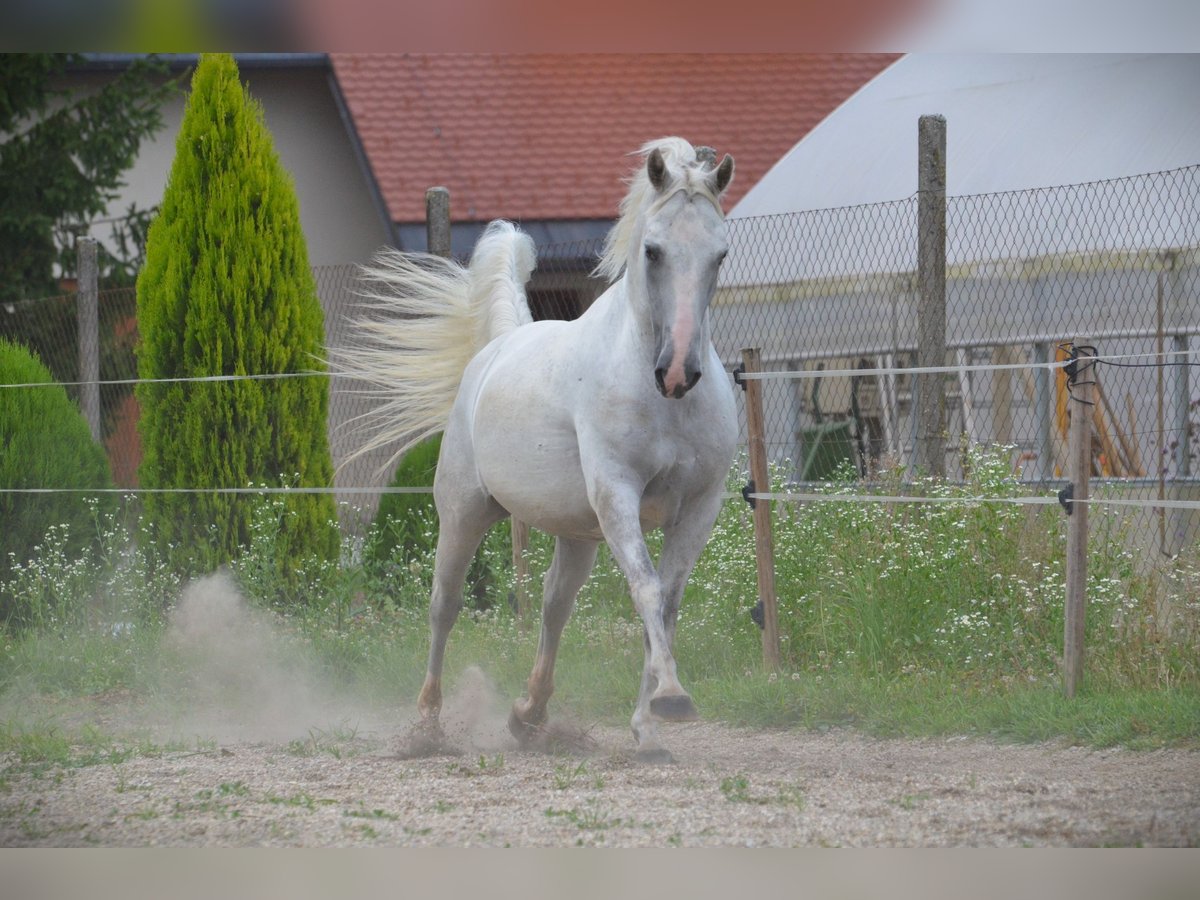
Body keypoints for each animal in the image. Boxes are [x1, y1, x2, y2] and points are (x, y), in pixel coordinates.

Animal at [348, 139, 734, 763]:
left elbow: (665, 606)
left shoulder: (700, 507)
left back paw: (528, 714)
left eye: (719, 255)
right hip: (463, 513)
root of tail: (499, 347)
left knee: (554, 606)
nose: (677, 373)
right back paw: (427, 725)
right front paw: (671, 699)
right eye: (652, 251)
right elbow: (647, 590)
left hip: (578, 535)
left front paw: (649, 726)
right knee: (444, 604)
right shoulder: (618, 494)